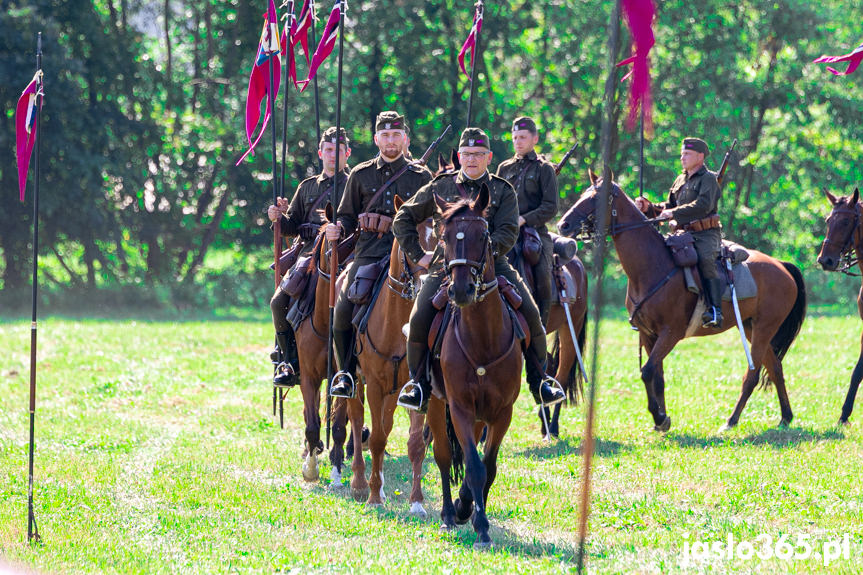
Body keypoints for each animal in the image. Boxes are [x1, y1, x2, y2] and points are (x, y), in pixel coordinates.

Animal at [342, 199, 436, 516]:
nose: (426, 282)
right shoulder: (374, 385)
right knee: (357, 421)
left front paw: (417, 502)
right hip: (355, 381)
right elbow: (377, 437)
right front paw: (372, 496)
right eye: (409, 241)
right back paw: (360, 483)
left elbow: (416, 443)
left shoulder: (415, 389)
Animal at [426, 188, 520, 548]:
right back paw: (448, 514)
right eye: (445, 237)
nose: (461, 290)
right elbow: (474, 467)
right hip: (435, 404)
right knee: (442, 455)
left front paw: (470, 506)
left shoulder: (502, 412)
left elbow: (486, 467)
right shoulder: (460, 408)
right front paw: (477, 523)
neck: (483, 337)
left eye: (483, 236)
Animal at [556, 179, 808, 432]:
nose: (563, 225)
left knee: (753, 375)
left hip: (765, 328)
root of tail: (781, 265)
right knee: (775, 368)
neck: (653, 266)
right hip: (750, 327)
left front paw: (659, 417)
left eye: (596, 198)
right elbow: (657, 376)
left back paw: (731, 420)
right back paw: (785, 417)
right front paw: (662, 419)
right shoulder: (648, 334)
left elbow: (647, 371)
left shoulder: (671, 333)